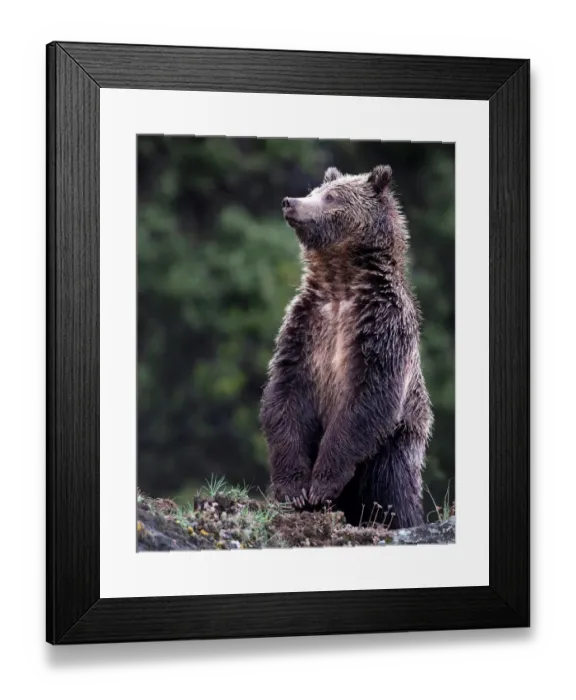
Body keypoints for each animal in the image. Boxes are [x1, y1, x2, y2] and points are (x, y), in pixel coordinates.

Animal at [259, 164, 433, 529]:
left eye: (332, 196)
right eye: (315, 190)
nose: (290, 202)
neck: (341, 283)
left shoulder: (381, 327)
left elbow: (368, 397)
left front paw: (322, 484)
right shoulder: (305, 327)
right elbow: (284, 396)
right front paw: (295, 489)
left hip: (395, 448)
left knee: (393, 490)